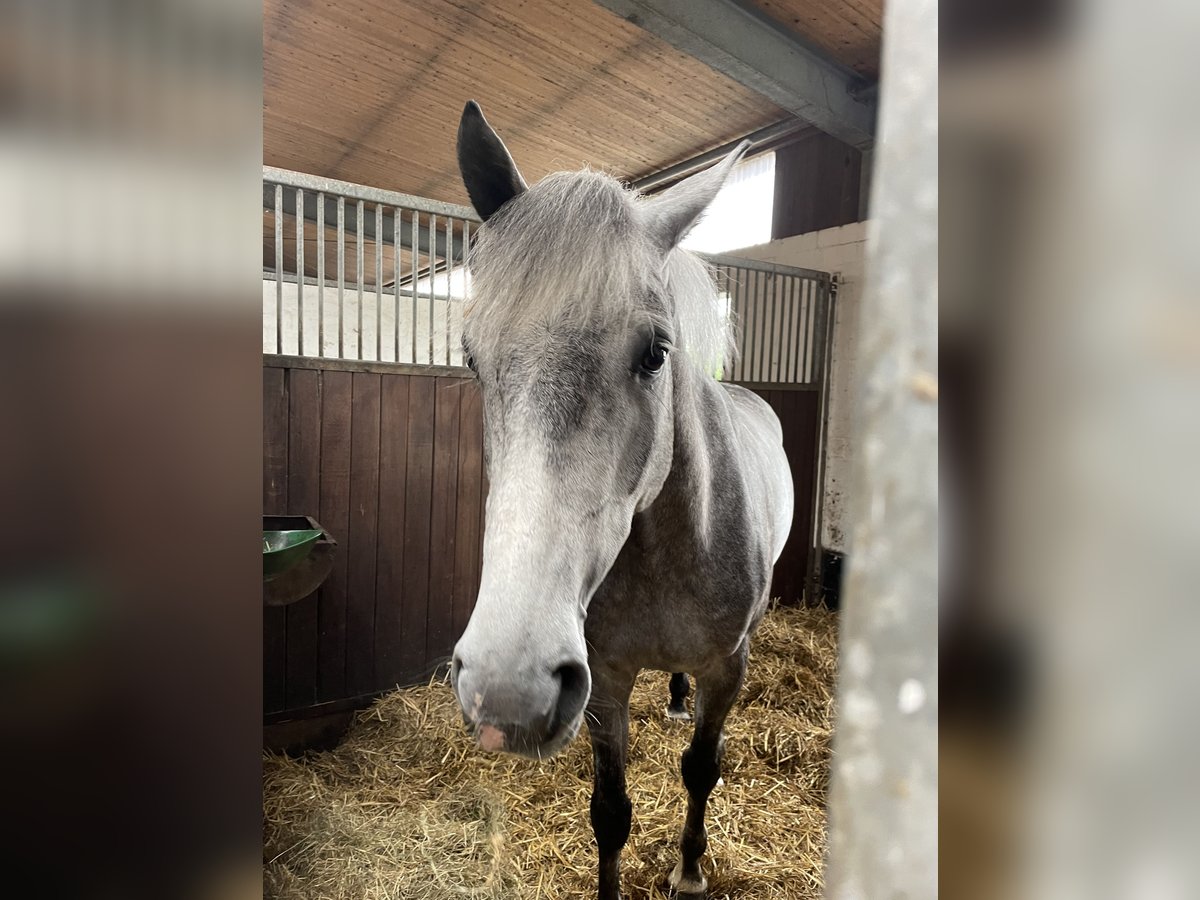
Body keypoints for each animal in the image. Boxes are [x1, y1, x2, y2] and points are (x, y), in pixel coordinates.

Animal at [446, 102, 792, 897]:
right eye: (471, 356)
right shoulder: (601, 680)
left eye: (656, 353)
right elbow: (610, 812)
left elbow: (701, 770)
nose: (506, 690)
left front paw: (690, 869)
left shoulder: (729, 668)